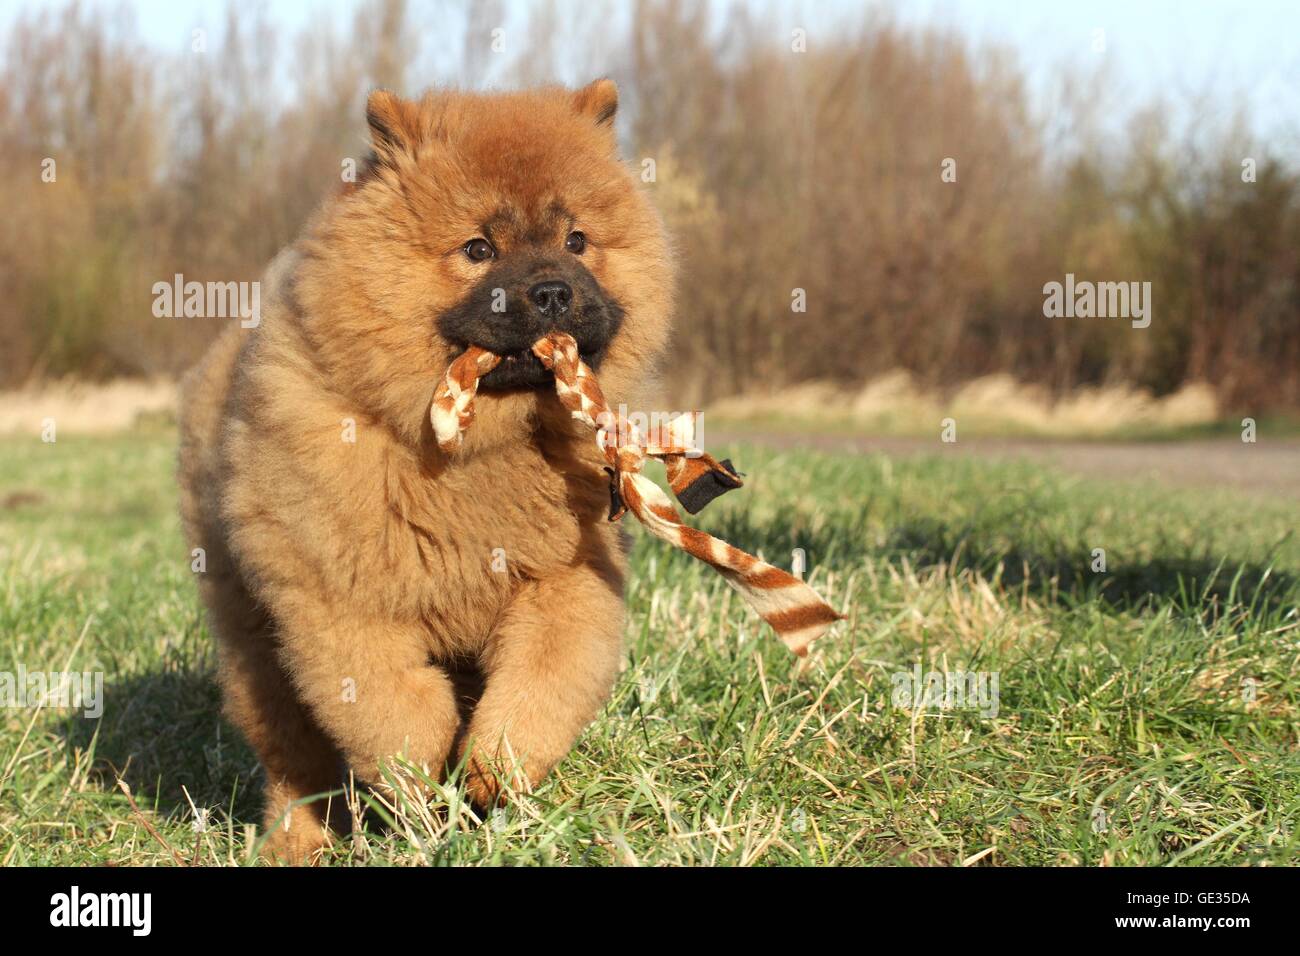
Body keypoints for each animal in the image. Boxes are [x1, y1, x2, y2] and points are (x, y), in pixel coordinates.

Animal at [176, 78, 670, 863]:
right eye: (477, 249)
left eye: (577, 241)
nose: (553, 291)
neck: (481, 455)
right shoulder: (344, 606)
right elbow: (400, 710)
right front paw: (418, 790)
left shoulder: (565, 578)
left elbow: (542, 680)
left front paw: (493, 770)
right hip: (257, 645)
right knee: (291, 760)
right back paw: (296, 842)